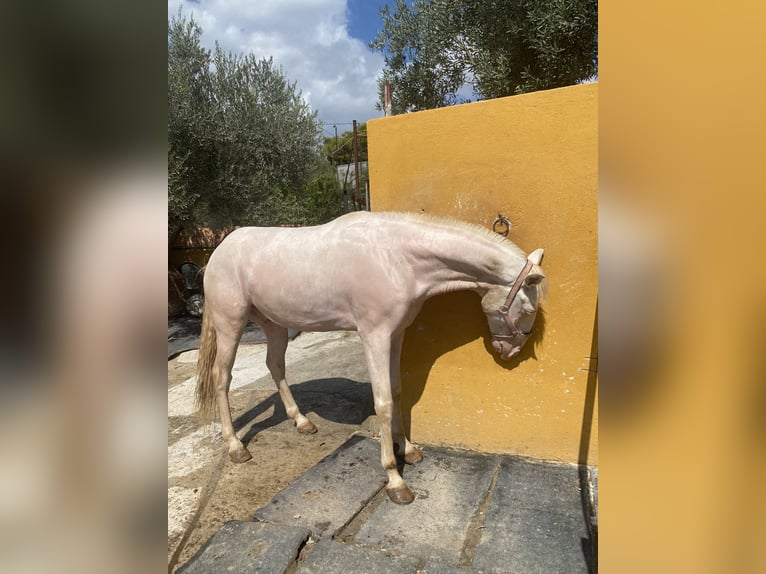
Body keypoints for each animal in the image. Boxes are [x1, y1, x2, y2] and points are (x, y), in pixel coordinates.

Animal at [198, 210, 544, 504]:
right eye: (527, 308)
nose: (511, 351)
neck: (398, 258)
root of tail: (220, 249)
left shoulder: (396, 334)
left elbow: (397, 391)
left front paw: (408, 449)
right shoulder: (374, 337)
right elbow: (384, 401)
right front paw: (395, 479)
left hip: (275, 326)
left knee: (275, 366)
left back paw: (301, 422)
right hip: (231, 325)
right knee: (222, 378)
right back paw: (236, 446)